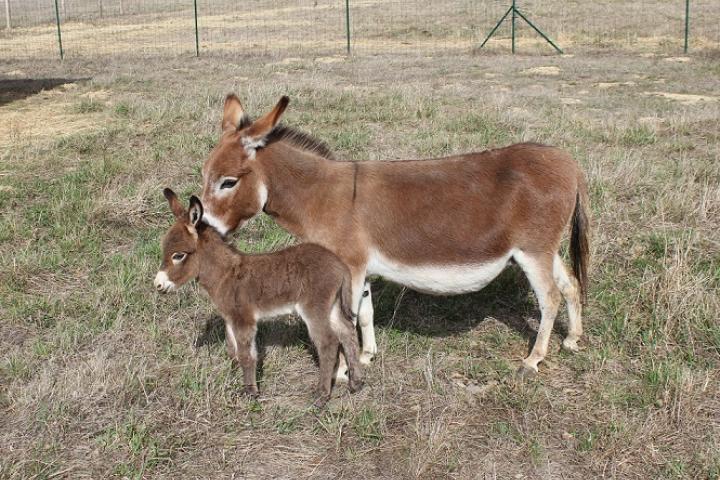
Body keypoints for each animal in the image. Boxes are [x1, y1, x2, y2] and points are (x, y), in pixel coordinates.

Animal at [154, 189, 362, 406]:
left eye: (178, 255)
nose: (157, 285)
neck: (225, 275)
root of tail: (339, 265)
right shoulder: (230, 319)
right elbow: (233, 351)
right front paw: (233, 378)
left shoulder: (244, 319)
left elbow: (247, 355)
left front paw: (250, 392)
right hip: (333, 306)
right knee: (347, 333)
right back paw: (356, 383)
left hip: (314, 309)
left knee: (328, 343)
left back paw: (321, 395)